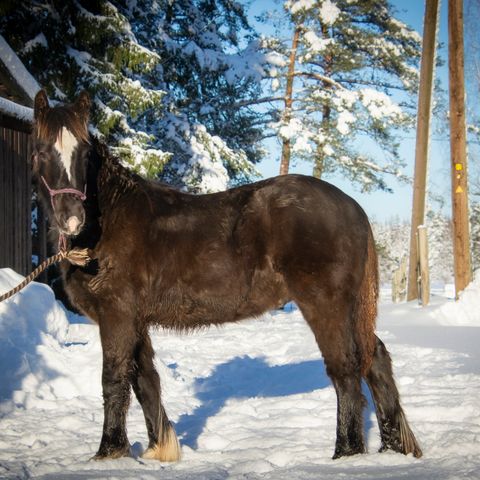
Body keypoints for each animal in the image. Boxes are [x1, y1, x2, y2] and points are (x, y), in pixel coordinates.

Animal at [31, 89, 420, 462]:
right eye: (42, 151)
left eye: (84, 154)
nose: (72, 219)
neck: (108, 223)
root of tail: (352, 207)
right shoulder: (134, 320)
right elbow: (144, 380)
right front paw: (160, 450)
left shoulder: (116, 315)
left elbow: (114, 379)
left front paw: (109, 453)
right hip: (349, 309)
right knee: (375, 358)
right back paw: (392, 448)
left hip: (326, 304)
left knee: (345, 370)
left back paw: (346, 454)